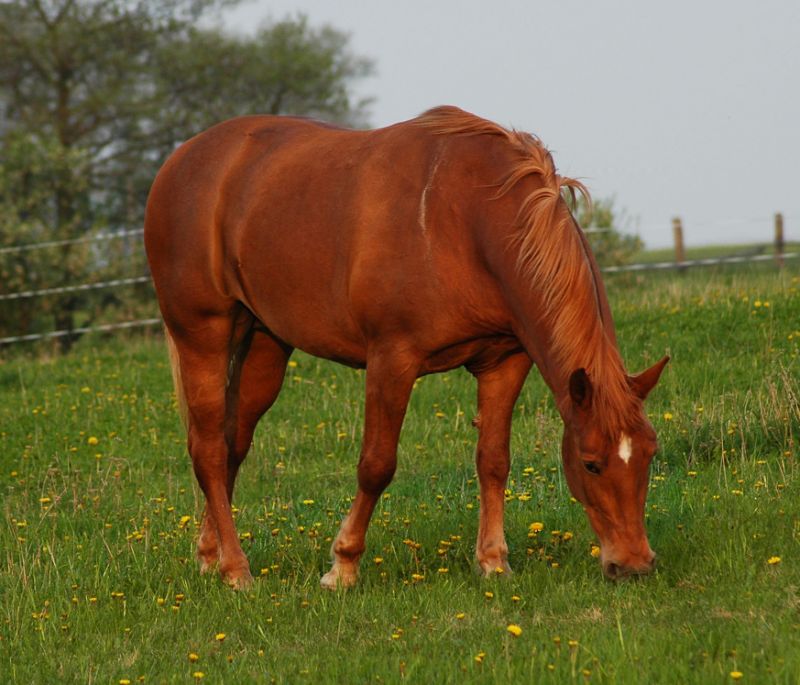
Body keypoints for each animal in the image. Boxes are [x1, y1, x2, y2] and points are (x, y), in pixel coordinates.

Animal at [144, 105, 668, 588]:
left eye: (649, 453)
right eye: (591, 464)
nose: (634, 564)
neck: (468, 219)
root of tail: (181, 161)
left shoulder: (505, 361)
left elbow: (493, 460)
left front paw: (493, 561)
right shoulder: (392, 359)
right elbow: (376, 465)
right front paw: (343, 566)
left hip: (266, 343)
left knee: (233, 443)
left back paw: (210, 554)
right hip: (202, 334)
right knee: (209, 448)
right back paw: (236, 570)